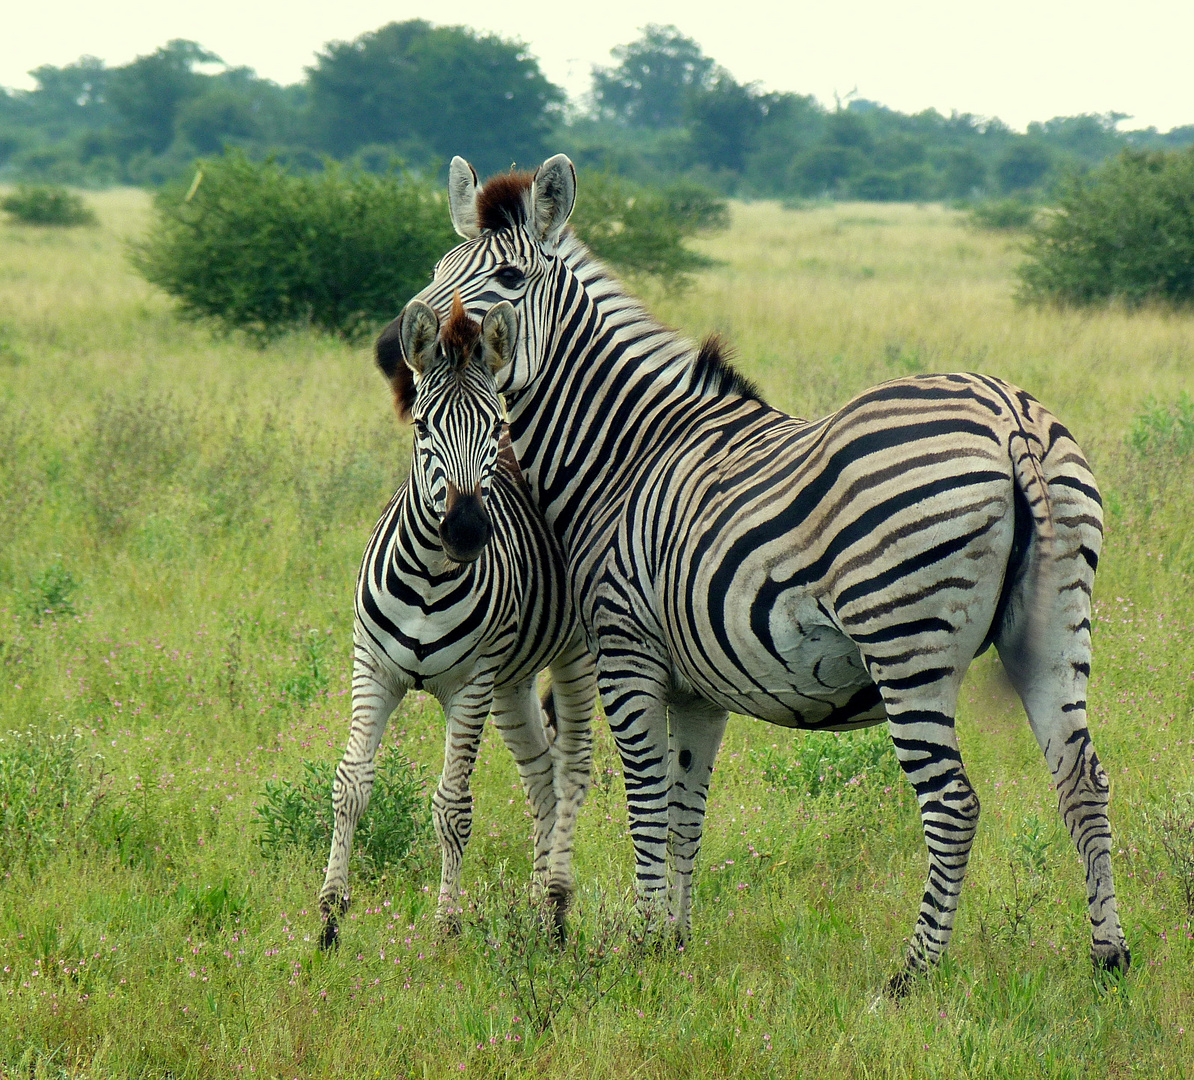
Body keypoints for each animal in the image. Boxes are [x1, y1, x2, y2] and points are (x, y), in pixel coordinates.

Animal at [317, 294, 597, 945]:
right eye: (421, 426)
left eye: (496, 426)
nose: (466, 532)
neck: (428, 576)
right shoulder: (373, 668)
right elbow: (350, 784)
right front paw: (331, 915)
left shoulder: (469, 686)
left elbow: (453, 805)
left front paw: (446, 923)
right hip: (511, 680)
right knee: (542, 777)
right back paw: (535, 907)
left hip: (571, 657)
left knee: (571, 770)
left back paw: (555, 908)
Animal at [398, 156, 1127, 988]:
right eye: (440, 268)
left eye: (511, 277)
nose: (408, 346)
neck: (624, 454)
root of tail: (1009, 419)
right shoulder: (696, 689)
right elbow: (685, 812)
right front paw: (674, 943)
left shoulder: (625, 649)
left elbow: (646, 801)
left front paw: (640, 946)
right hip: (1055, 626)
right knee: (1083, 781)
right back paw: (1108, 956)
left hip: (905, 640)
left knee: (953, 805)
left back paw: (909, 976)